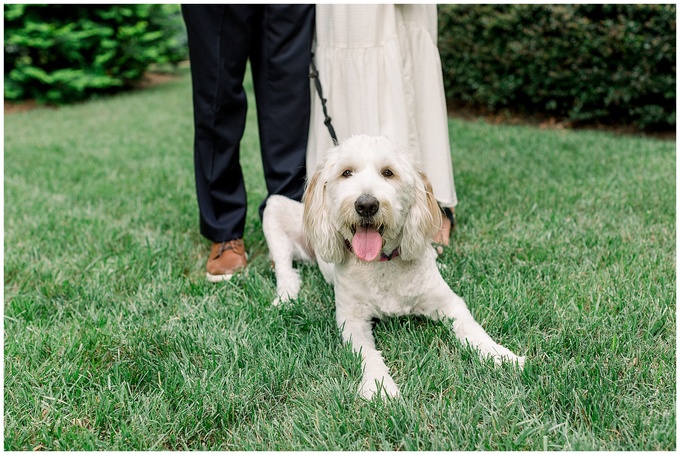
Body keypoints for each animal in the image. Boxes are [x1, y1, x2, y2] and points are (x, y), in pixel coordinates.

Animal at [262, 134, 524, 400]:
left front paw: (502, 356)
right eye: (347, 173)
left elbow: (473, 330)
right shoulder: (351, 320)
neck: (381, 262)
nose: (366, 205)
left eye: (388, 173)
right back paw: (285, 298)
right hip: (273, 209)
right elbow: (368, 354)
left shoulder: (450, 304)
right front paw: (380, 386)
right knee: (285, 269)